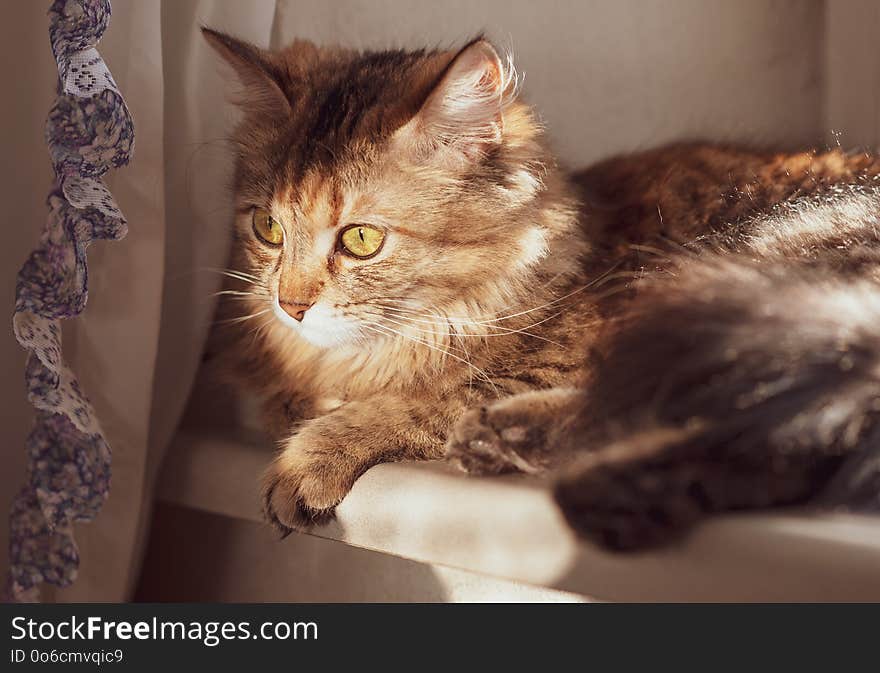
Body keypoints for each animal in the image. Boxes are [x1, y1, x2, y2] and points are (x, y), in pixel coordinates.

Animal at [201, 28, 880, 548]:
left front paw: (308, 459)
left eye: (362, 239)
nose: (290, 306)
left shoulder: (574, 352)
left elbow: (425, 398)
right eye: (267, 228)